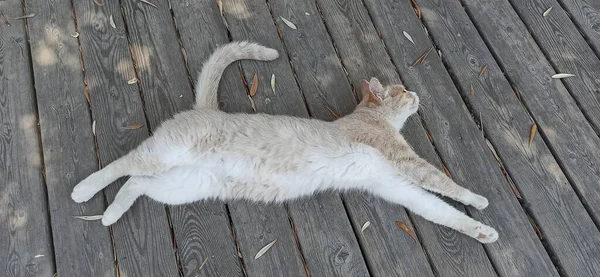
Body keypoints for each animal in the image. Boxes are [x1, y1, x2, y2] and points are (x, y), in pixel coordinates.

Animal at [72, 41, 500, 242]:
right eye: (402, 90)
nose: (416, 94)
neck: (370, 117)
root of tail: (206, 108)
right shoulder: (401, 162)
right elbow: (443, 183)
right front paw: (479, 200)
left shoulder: (392, 183)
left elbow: (440, 211)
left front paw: (484, 232)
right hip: (165, 156)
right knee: (125, 165)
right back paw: (83, 190)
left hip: (184, 186)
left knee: (136, 184)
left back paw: (110, 215)